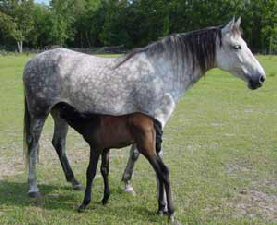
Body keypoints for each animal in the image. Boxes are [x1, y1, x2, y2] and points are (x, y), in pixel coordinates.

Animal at [22, 18, 264, 199]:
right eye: (237, 46)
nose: (260, 78)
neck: (161, 72)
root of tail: (33, 61)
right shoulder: (154, 119)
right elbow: (140, 152)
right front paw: (131, 185)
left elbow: (136, 152)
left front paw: (127, 183)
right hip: (40, 113)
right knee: (34, 145)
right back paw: (33, 188)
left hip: (60, 114)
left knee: (58, 144)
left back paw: (73, 181)